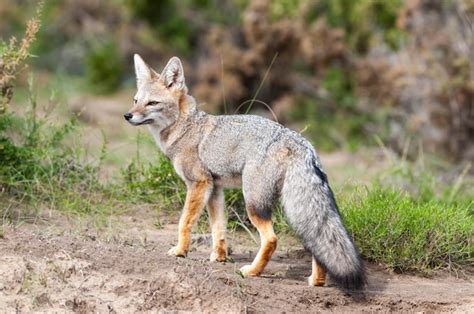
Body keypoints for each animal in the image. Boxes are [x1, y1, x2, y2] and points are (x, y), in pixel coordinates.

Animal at [123, 54, 366, 290]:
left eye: (152, 103)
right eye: (136, 100)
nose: (127, 115)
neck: (185, 125)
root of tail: (298, 141)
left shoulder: (198, 183)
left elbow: (184, 221)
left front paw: (180, 251)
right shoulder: (215, 189)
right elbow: (218, 228)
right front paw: (219, 257)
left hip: (253, 203)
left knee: (271, 239)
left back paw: (252, 271)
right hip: (296, 208)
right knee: (315, 242)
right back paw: (317, 281)